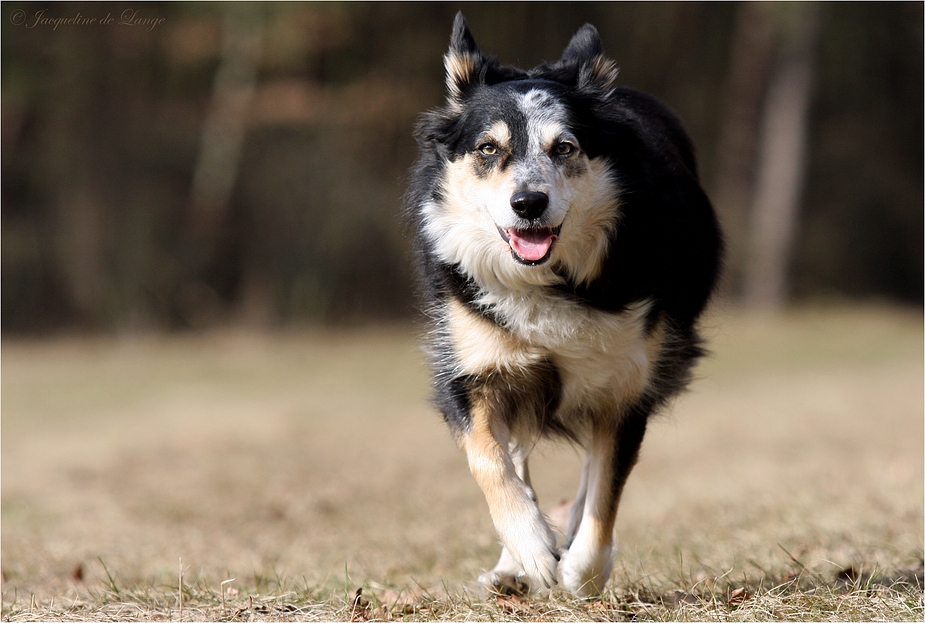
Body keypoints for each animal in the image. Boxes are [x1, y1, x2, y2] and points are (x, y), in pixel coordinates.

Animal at [404, 14, 720, 596]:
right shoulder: (470, 367)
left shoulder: (626, 382)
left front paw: (582, 571)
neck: (546, 281)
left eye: (566, 148)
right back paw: (513, 565)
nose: (528, 204)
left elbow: (605, 488)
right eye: (488, 148)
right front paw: (531, 549)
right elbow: (490, 461)